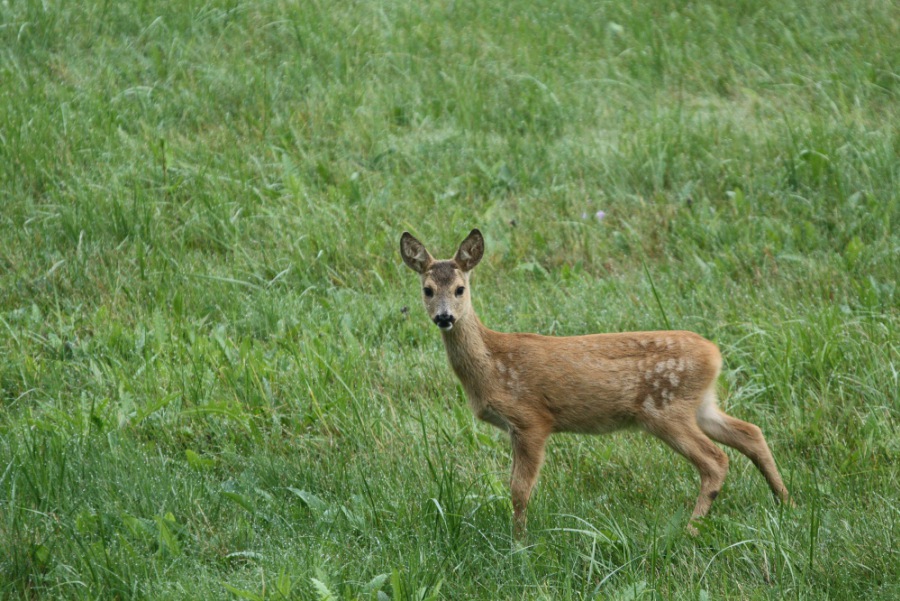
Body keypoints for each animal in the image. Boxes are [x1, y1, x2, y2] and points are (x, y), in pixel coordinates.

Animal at [400, 228, 792, 538]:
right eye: (428, 290)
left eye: (460, 289)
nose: (445, 317)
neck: (493, 365)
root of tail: (715, 354)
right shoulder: (515, 428)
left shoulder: (531, 419)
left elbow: (519, 490)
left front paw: (519, 543)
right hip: (700, 404)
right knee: (751, 432)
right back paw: (784, 501)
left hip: (665, 409)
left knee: (715, 460)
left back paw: (692, 529)